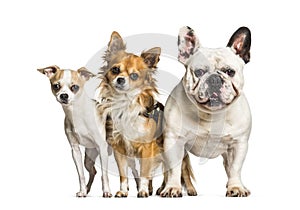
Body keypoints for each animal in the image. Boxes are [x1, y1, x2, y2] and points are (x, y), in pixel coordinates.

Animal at [37, 66, 112, 198]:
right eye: (56, 86)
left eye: (75, 87)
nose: (64, 95)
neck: (77, 113)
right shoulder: (75, 150)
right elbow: (80, 174)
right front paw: (82, 191)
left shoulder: (102, 148)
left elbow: (105, 174)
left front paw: (107, 191)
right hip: (88, 159)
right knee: (93, 171)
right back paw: (87, 189)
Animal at [97, 30, 198, 197]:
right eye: (115, 70)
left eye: (134, 76)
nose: (120, 80)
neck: (126, 103)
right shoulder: (120, 148)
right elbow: (124, 174)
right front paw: (123, 191)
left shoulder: (146, 148)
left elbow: (144, 173)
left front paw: (143, 191)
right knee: (166, 173)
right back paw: (160, 189)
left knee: (181, 171)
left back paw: (189, 189)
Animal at [161, 26, 252, 197]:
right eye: (199, 72)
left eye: (230, 72)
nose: (214, 79)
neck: (211, 114)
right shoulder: (174, 141)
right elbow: (174, 169)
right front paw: (172, 187)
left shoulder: (238, 144)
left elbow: (235, 168)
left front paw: (236, 187)